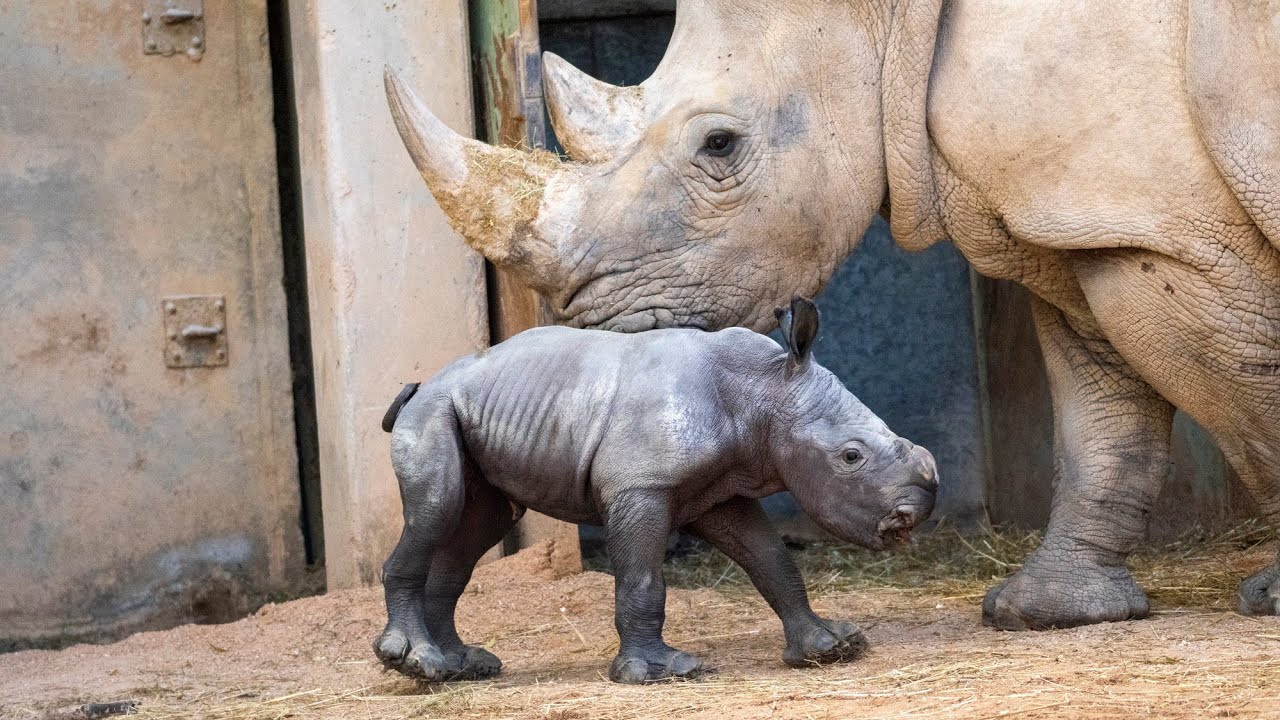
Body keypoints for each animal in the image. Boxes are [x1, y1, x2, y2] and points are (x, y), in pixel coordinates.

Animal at [374, 297, 937, 683]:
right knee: (437, 510)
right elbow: (643, 578)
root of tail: (421, 386)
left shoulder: (720, 492)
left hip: (472, 410)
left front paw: (830, 646)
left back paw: (460, 667)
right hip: (435, 412)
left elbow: (771, 560)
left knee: (476, 528)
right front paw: (657, 672)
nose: (912, 514)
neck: (763, 389)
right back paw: (415, 661)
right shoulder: (640, 486)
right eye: (851, 456)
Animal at [382, 0, 1280, 631]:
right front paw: (1046, 611)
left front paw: (1270, 598)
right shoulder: (1098, 222)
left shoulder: (1164, 226)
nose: (589, 327)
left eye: (718, 145)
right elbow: (1103, 412)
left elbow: (1241, 399)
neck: (884, 16)